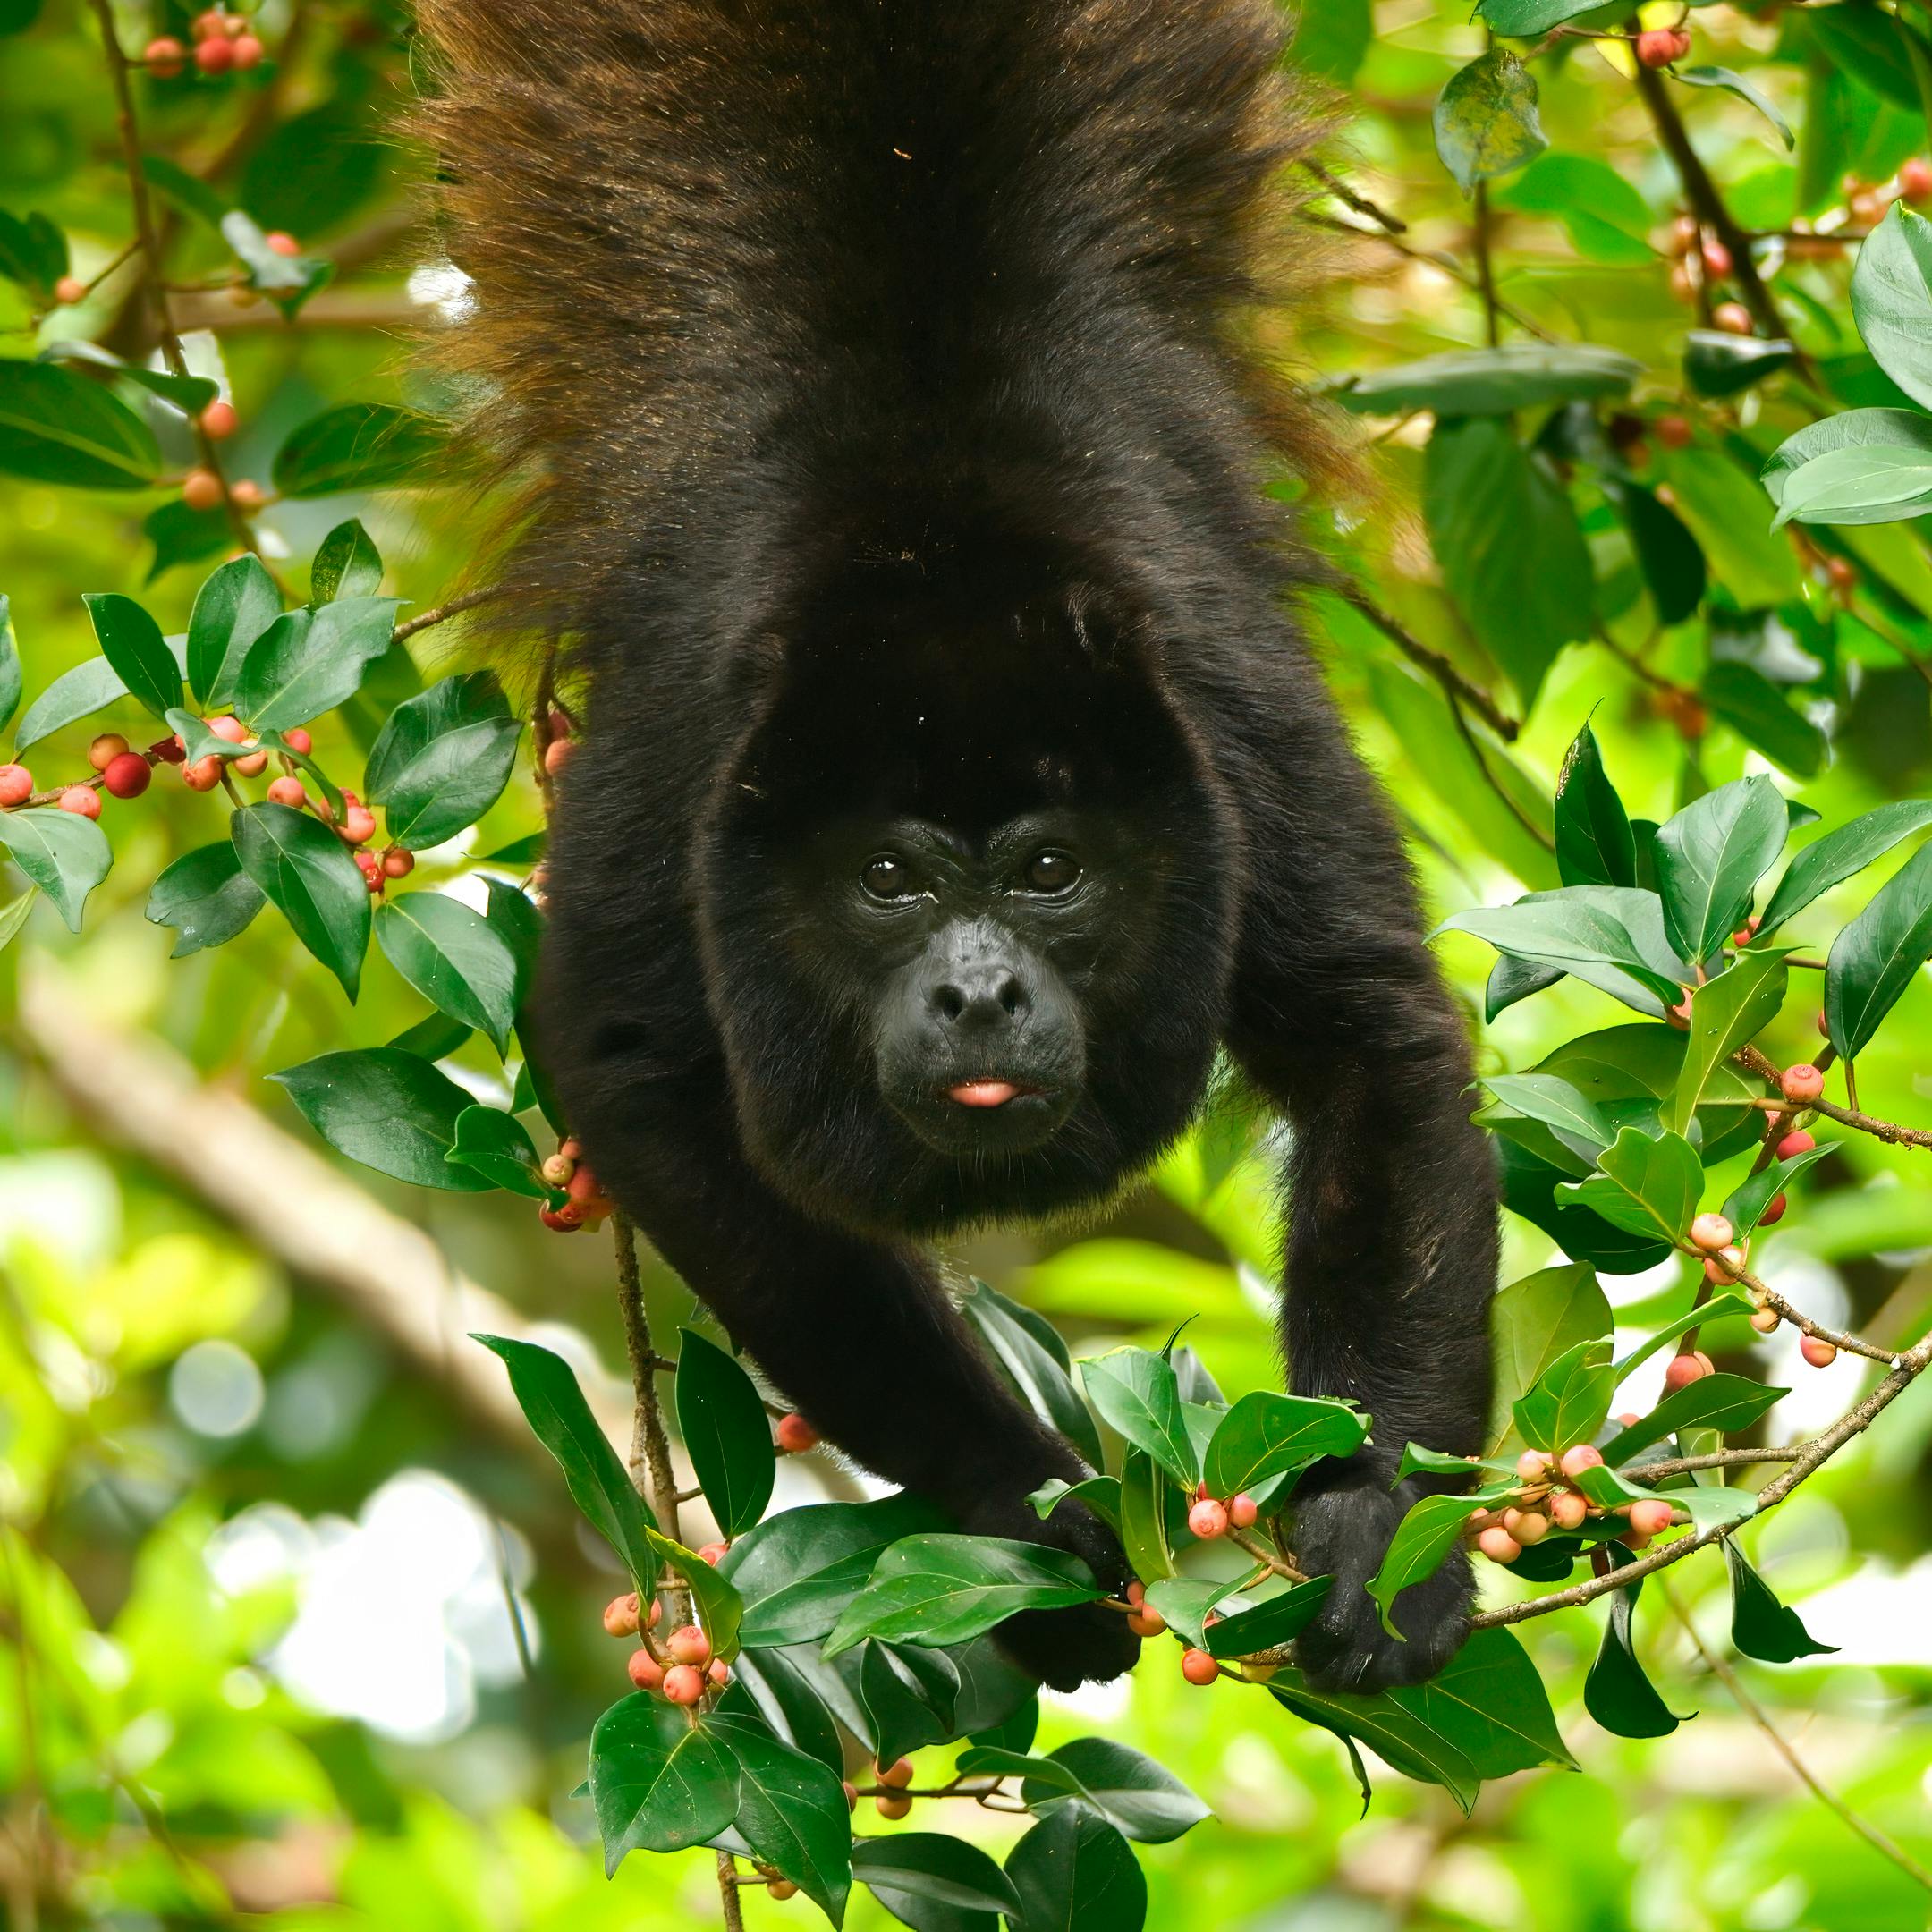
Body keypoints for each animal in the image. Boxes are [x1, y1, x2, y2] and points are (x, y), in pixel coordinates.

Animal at [415, 0, 1499, 1693]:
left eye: (1050, 870)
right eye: (888, 878)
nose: (978, 993)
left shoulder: (1226, 712)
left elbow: (1369, 1028)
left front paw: (1381, 1526)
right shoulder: (682, 749)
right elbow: (636, 1069)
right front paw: (1016, 1515)